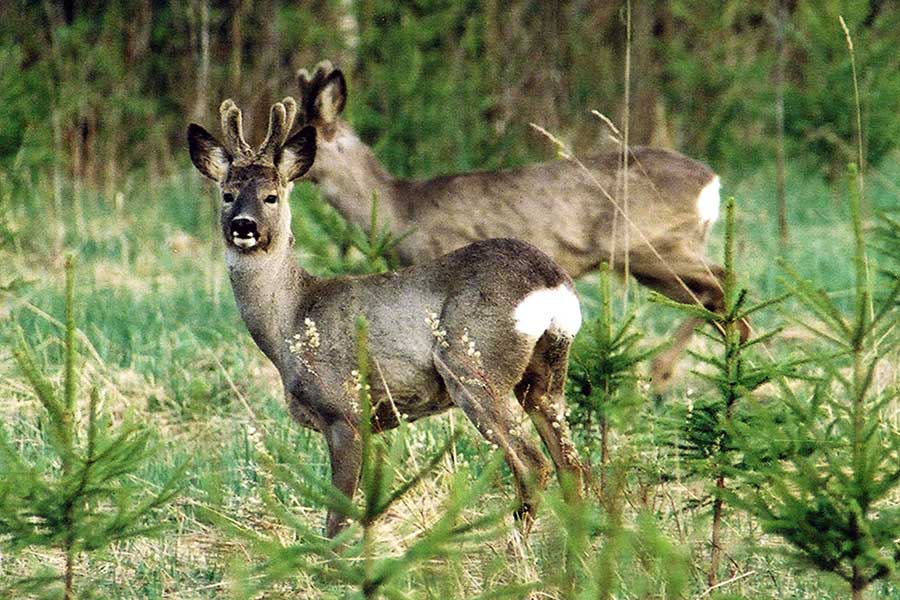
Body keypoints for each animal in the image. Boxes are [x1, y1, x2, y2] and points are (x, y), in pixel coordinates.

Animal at [186, 96, 588, 536]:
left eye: (272, 196)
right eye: (227, 194)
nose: (244, 225)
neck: (290, 319)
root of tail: (552, 284)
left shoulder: (344, 408)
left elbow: (338, 516)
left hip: (473, 365)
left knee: (533, 465)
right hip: (545, 377)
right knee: (571, 466)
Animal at [298, 62, 752, 390]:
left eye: (296, 132)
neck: (400, 210)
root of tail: (711, 183)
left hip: (651, 245)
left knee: (724, 281)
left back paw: (666, 373)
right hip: (651, 264)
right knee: (714, 298)